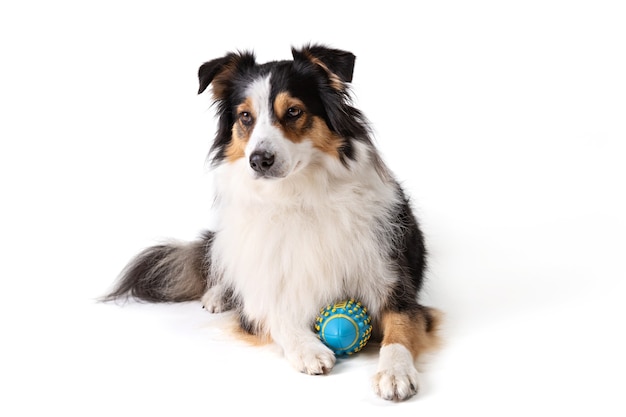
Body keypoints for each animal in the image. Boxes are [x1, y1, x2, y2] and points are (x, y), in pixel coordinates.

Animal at [105, 44, 438, 400]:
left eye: (293, 112)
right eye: (245, 117)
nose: (259, 160)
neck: (296, 195)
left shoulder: (393, 286)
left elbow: (400, 329)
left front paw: (394, 372)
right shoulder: (265, 285)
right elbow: (274, 312)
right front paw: (308, 349)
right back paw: (217, 295)